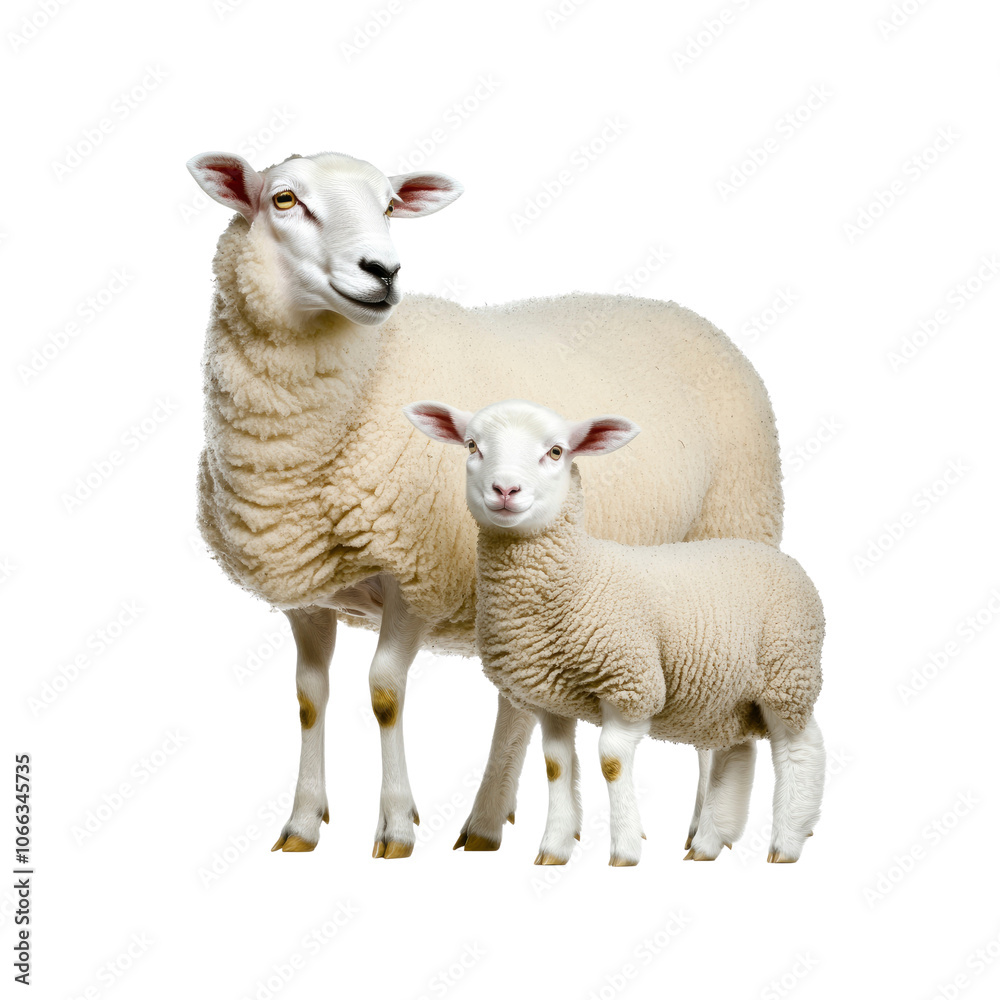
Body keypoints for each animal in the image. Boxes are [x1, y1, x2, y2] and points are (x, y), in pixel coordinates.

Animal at [187, 149, 785, 860]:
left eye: (389, 205)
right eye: (283, 199)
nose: (383, 272)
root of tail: (693, 316)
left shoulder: (419, 577)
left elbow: (384, 693)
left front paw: (395, 825)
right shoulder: (306, 591)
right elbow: (309, 697)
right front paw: (303, 824)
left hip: (726, 548)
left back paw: (701, 831)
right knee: (521, 702)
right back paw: (491, 823)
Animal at [405, 398, 825, 867]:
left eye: (556, 451)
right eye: (472, 445)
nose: (505, 489)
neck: (578, 574)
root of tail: (784, 560)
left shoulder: (631, 683)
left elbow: (611, 762)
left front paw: (624, 849)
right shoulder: (552, 697)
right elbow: (556, 765)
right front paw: (554, 848)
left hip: (787, 674)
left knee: (800, 749)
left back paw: (786, 844)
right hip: (729, 694)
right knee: (736, 752)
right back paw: (708, 845)